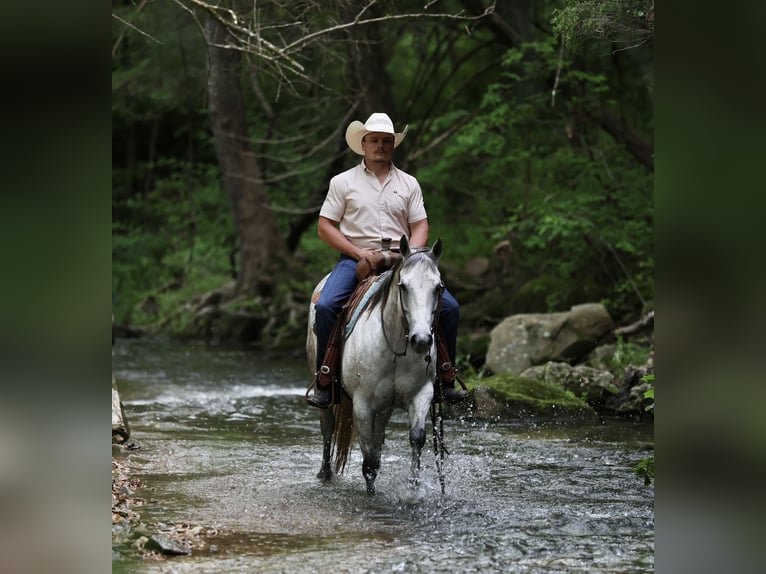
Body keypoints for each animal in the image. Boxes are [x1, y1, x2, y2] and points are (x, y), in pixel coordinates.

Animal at [306, 235, 444, 495]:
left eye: (438, 287)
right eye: (403, 286)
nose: (421, 340)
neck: (396, 348)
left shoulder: (422, 393)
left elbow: (416, 437)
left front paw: (413, 491)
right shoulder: (363, 404)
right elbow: (368, 456)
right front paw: (370, 493)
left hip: (384, 407)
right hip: (325, 389)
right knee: (327, 425)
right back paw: (325, 473)